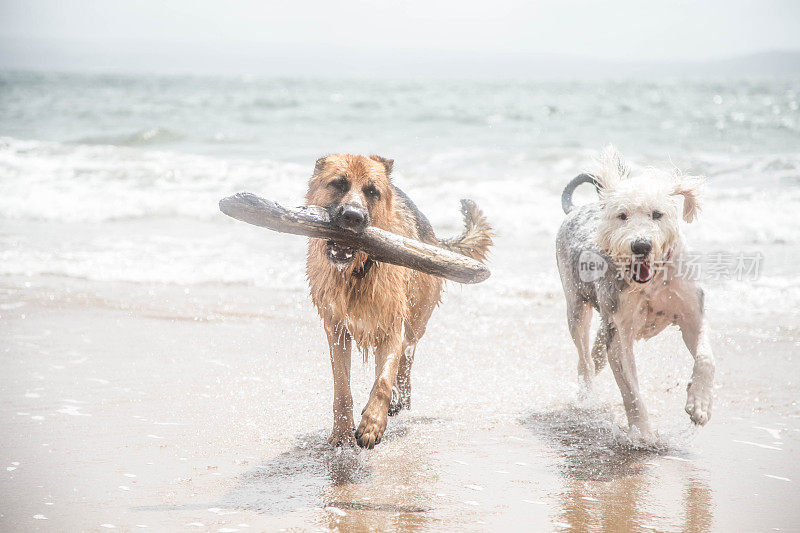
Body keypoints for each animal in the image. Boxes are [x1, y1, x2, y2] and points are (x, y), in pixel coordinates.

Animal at [306, 155, 494, 448]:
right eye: (338, 183)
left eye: (372, 192)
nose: (352, 216)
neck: (357, 271)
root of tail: (433, 237)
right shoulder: (336, 329)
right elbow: (342, 386)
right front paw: (341, 431)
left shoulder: (392, 325)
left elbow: (384, 379)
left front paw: (373, 423)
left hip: (415, 322)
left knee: (405, 362)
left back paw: (397, 400)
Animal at [556, 147, 720, 440]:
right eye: (622, 215)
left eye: (657, 214)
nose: (641, 245)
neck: (651, 283)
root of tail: (575, 209)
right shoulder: (620, 331)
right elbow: (629, 387)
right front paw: (642, 431)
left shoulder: (693, 313)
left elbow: (705, 357)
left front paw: (699, 405)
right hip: (576, 305)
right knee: (584, 358)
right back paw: (586, 399)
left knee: (593, 356)